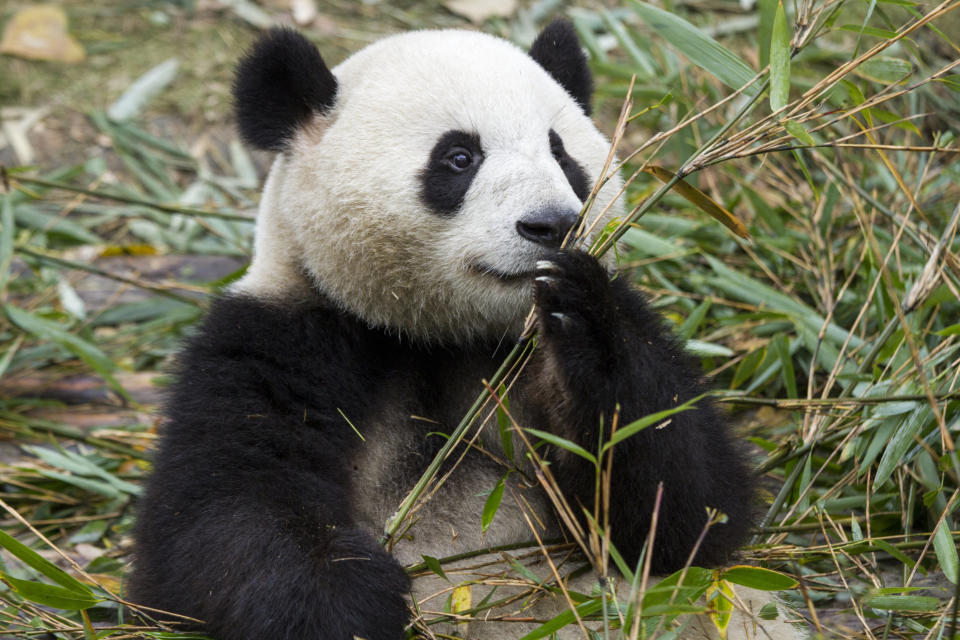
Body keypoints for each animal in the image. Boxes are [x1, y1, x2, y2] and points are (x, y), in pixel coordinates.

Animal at [127, 20, 804, 640]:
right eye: (459, 157)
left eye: (562, 155)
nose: (551, 225)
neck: (441, 334)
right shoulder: (283, 338)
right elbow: (217, 519)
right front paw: (350, 602)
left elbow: (685, 513)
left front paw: (585, 316)